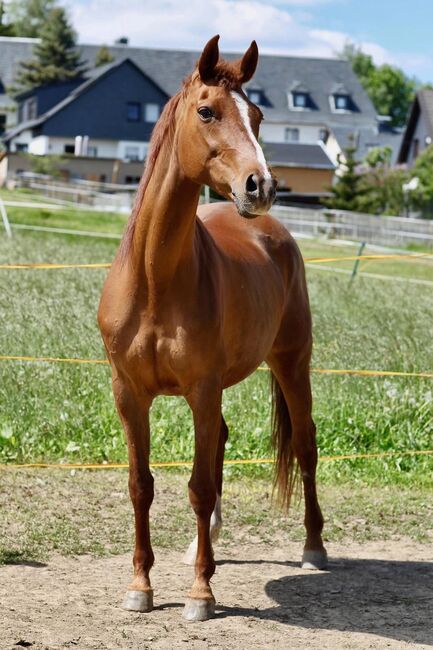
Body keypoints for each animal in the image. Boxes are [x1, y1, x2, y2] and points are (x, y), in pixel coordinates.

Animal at [98, 36, 324, 624]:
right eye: (207, 112)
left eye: (259, 116)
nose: (261, 186)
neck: (156, 279)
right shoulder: (129, 394)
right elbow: (141, 485)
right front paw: (140, 586)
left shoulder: (200, 390)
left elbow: (198, 487)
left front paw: (200, 594)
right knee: (220, 440)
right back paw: (210, 546)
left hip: (292, 365)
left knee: (306, 446)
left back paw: (315, 546)